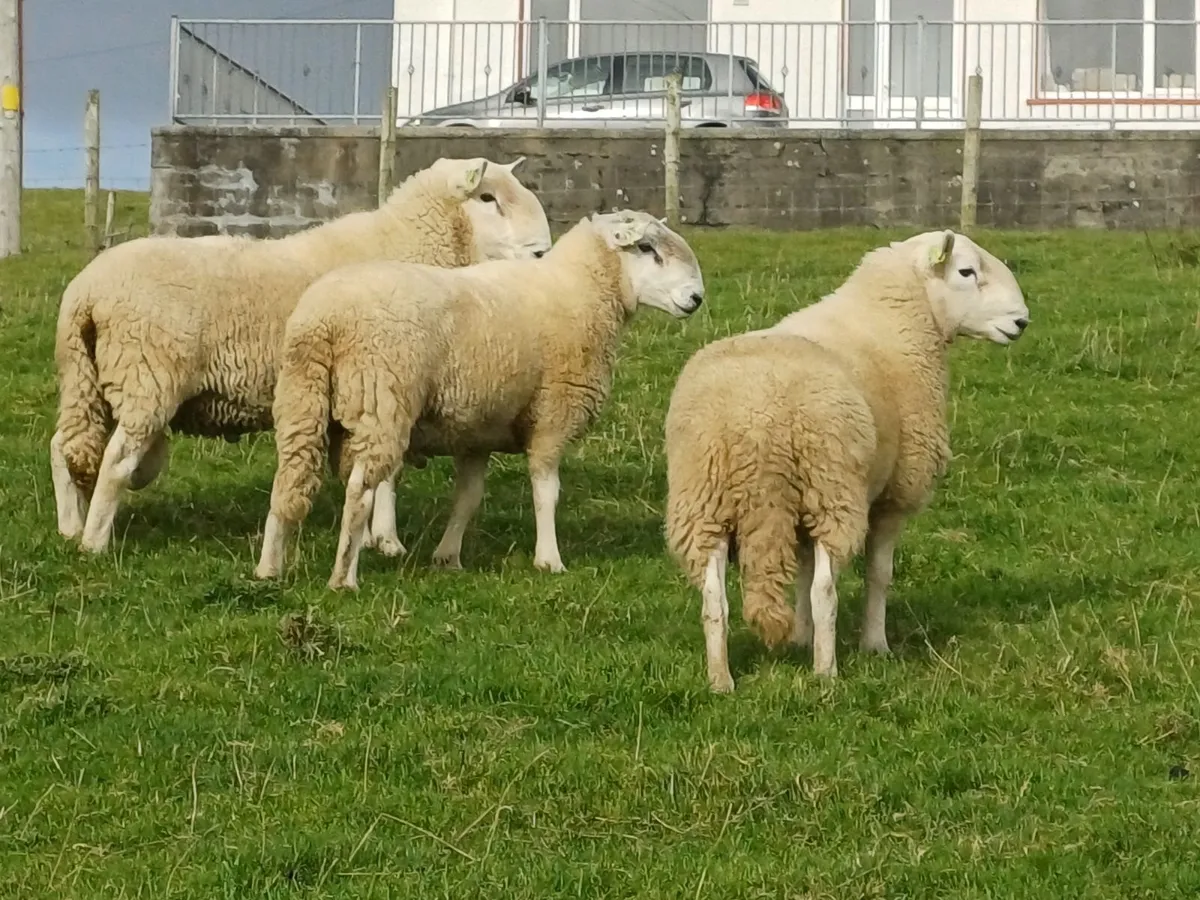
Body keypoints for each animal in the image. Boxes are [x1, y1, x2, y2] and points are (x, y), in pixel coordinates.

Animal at [50, 155, 551, 556]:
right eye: (487, 197)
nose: (542, 253)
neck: (411, 244)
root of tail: (86, 292)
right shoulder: (388, 377)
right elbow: (388, 473)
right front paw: (387, 541)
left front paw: (376, 535)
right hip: (146, 375)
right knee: (115, 461)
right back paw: (95, 543)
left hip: (86, 378)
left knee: (66, 446)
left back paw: (71, 526)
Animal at [253, 208, 706, 591]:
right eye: (646, 249)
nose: (697, 299)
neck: (579, 290)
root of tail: (326, 319)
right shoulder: (553, 414)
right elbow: (547, 492)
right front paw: (549, 560)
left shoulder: (477, 430)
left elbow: (468, 499)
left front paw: (447, 557)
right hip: (382, 399)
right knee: (359, 490)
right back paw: (343, 578)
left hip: (303, 398)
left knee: (288, 481)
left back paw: (269, 569)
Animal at [662, 229, 1031, 692]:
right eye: (966, 271)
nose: (1022, 322)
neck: (893, 321)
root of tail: (758, 421)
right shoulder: (895, 494)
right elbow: (877, 575)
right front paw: (875, 645)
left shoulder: (801, 511)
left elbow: (802, 575)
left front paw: (799, 638)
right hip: (832, 491)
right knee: (826, 590)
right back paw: (826, 673)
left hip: (705, 502)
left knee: (715, 600)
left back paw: (721, 680)